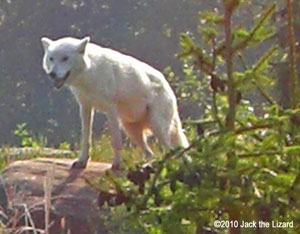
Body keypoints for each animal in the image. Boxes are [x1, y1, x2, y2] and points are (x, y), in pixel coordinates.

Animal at [41, 35, 189, 169]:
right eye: (51, 58)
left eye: (65, 58)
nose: (52, 74)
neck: (90, 74)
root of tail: (167, 84)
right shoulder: (85, 107)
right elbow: (86, 139)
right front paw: (82, 161)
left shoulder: (110, 109)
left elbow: (116, 142)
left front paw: (117, 164)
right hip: (131, 129)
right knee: (150, 153)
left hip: (156, 126)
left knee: (170, 151)